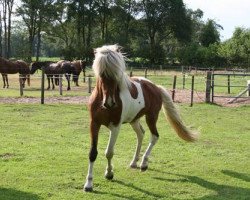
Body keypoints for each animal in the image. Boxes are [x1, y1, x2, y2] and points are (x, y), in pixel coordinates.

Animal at [84, 44, 199, 191]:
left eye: (116, 73)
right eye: (102, 73)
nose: (110, 103)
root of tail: (156, 87)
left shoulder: (115, 126)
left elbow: (109, 152)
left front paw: (109, 173)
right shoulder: (94, 124)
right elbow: (93, 153)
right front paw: (88, 184)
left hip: (151, 117)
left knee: (154, 136)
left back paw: (144, 163)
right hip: (134, 119)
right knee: (141, 134)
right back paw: (134, 162)